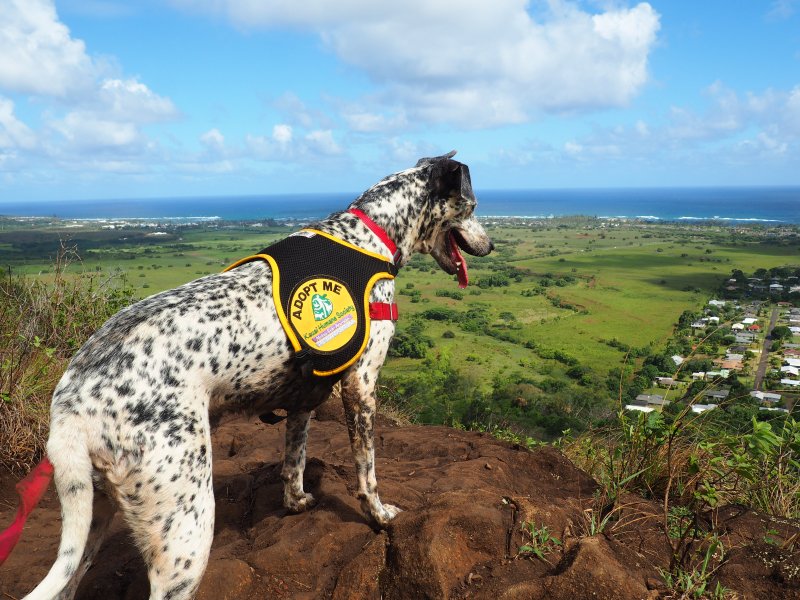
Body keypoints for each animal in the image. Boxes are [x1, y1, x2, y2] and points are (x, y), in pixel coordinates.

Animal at [20, 151, 494, 600]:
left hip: (92, 512)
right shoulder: (360, 386)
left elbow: (293, 460)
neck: (370, 235)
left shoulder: (304, 397)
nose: (490, 246)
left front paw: (297, 501)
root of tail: (73, 405)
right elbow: (367, 470)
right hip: (186, 529)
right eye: (472, 206)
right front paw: (378, 515)